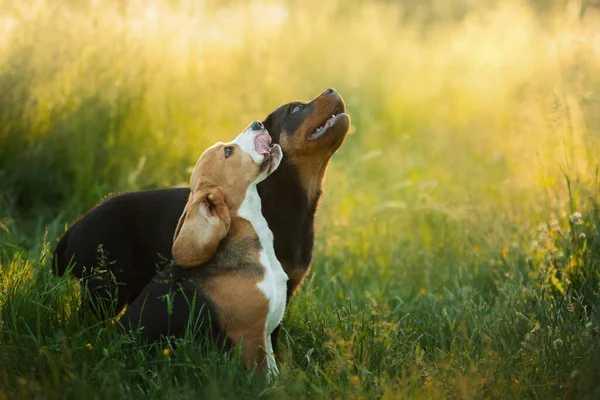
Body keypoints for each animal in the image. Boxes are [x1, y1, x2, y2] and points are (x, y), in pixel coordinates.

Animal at [54, 87, 352, 344]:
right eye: (295, 109)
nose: (331, 90)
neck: (286, 197)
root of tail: (72, 230)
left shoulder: (286, 287)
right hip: (105, 288)